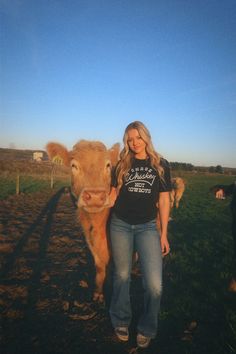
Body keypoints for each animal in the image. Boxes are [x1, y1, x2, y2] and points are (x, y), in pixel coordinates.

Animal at [46, 140, 120, 302]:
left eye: (108, 165)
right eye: (74, 166)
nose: (95, 196)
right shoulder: (91, 242)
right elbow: (100, 267)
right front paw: (98, 293)